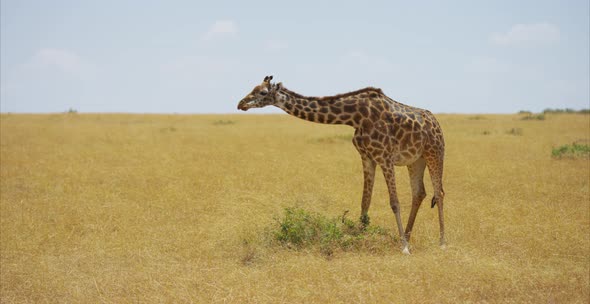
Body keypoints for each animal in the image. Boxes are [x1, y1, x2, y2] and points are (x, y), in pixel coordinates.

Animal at [238, 76, 446, 254]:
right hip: (416, 160)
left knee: (439, 193)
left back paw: (441, 242)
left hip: (435, 152)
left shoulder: (385, 157)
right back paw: (408, 237)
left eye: (262, 92)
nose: (241, 104)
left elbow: (394, 202)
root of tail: (436, 123)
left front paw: (404, 248)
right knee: (419, 193)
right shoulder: (367, 156)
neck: (355, 116)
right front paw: (360, 237)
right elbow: (365, 201)